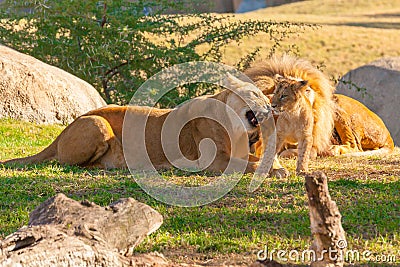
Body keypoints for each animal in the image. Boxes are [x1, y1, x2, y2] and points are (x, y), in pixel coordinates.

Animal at [0, 74, 288, 177]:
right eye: (257, 95)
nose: (272, 107)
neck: (236, 127)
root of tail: (60, 134)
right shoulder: (215, 161)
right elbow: (250, 165)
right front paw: (276, 170)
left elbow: (259, 159)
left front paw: (276, 166)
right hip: (97, 124)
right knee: (69, 163)